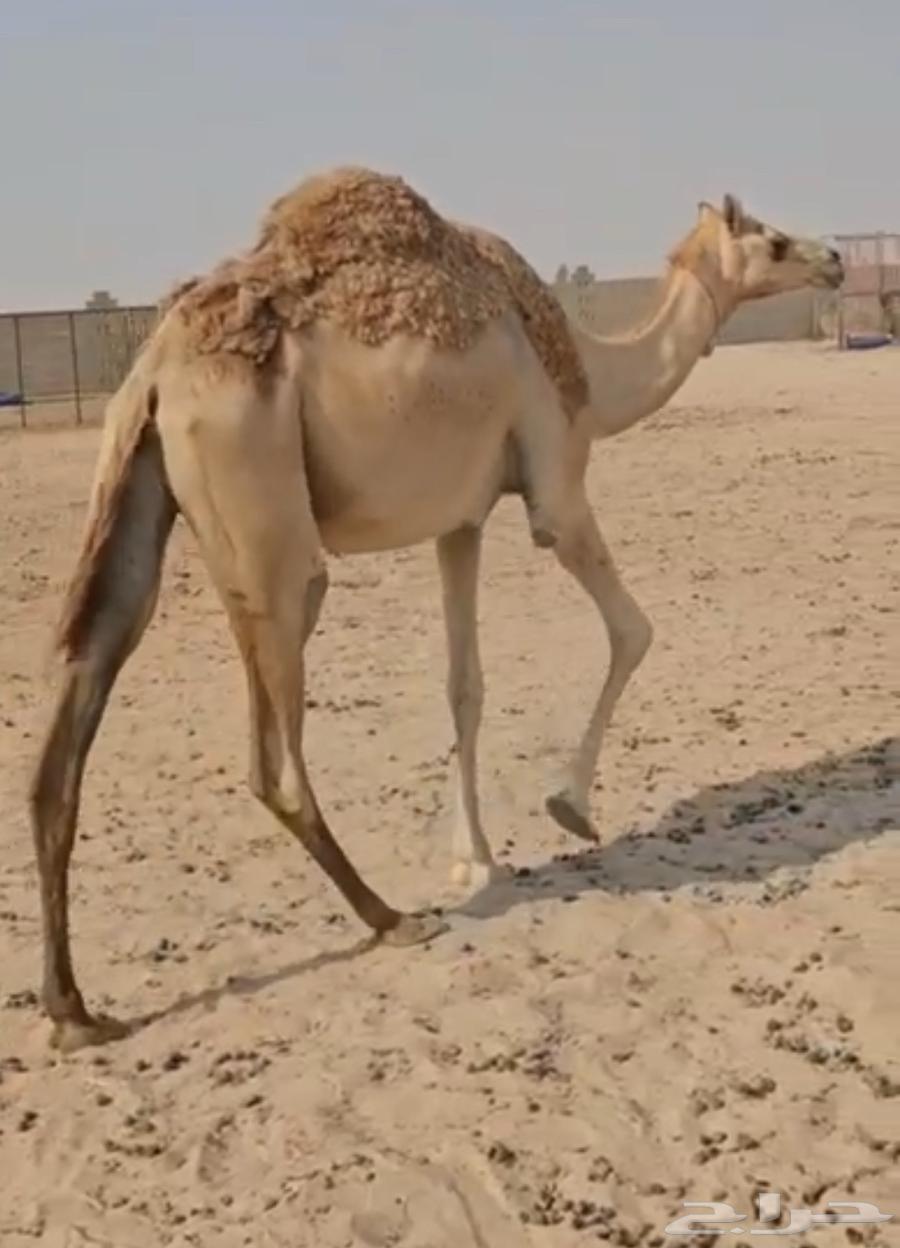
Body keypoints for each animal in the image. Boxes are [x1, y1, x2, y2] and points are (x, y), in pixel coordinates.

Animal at [28, 167, 843, 1051]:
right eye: (772, 240)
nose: (834, 258)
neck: (588, 374)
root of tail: (155, 372)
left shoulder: (463, 520)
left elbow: (465, 686)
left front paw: (474, 857)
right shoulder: (556, 489)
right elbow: (634, 630)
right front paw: (568, 809)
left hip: (139, 492)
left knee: (80, 697)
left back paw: (75, 1011)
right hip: (264, 520)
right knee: (275, 756)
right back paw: (392, 919)